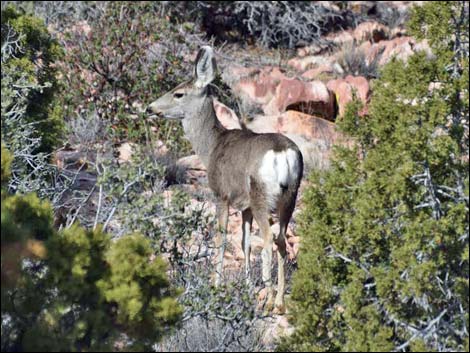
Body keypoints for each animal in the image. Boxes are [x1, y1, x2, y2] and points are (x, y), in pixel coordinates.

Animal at [146, 46, 304, 314]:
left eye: (178, 93)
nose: (150, 107)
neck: (211, 146)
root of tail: (283, 155)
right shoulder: (245, 207)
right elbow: (244, 243)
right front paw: (248, 285)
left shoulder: (221, 194)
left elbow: (220, 238)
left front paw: (216, 283)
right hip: (289, 197)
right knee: (281, 240)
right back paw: (280, 302)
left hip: (262, 196)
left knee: (269, 240)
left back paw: (270, 299)